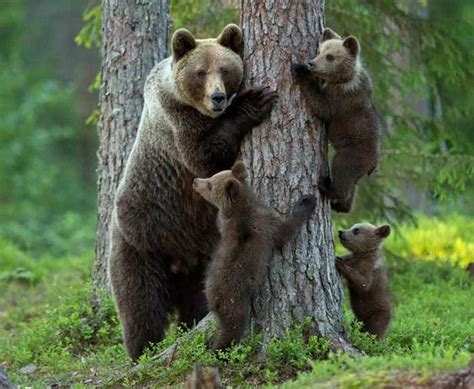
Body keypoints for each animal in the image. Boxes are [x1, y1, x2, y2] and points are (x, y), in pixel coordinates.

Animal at [108, 23, 278, 358]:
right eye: (200, 72)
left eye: (225, 69)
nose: (218, 97)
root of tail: (179, 262)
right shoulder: (176, 123)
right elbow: (204, 158)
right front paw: (254, 101)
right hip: (140, 242)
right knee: (141, 305)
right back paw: (141, 351)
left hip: (204, 257)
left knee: (197, 302)